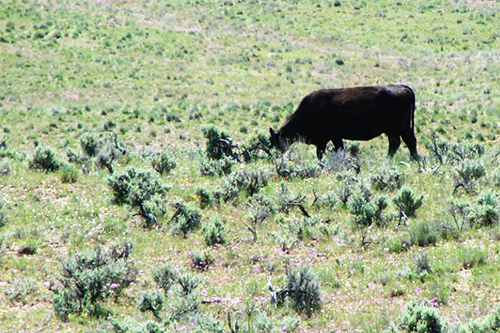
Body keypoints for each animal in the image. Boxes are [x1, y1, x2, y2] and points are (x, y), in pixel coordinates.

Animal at [270, 84, 418, 160]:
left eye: (275, 141)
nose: (274, 156)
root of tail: (403, 87)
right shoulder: (334, 138)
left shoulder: (327, 138)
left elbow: (322, 152)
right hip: (402, 128)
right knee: (408, 142)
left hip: (396, 129)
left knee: (397, 143)